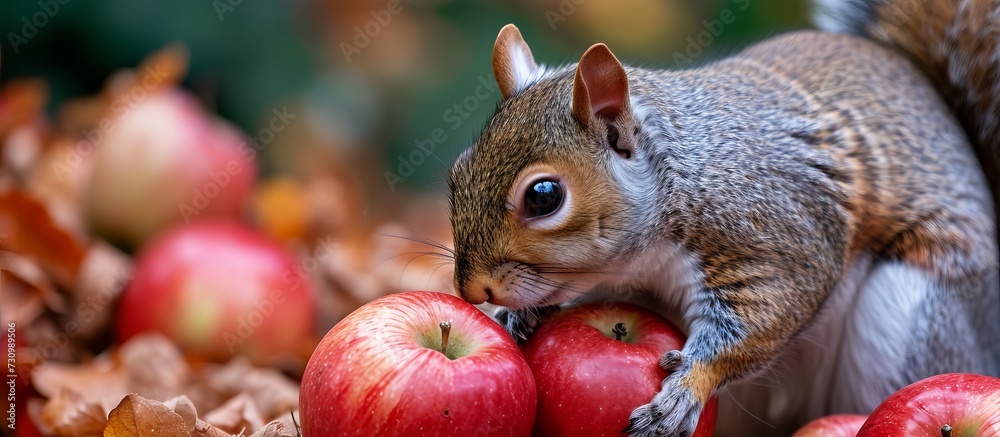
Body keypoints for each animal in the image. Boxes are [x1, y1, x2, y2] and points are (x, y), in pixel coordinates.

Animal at [452, 0, 1000, 436]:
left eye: (544, 196)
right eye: (457, 171)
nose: (471, 291)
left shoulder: (781, 233)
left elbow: (763, 318)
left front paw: (685, 390)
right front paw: (520, 314)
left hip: (906, 321)